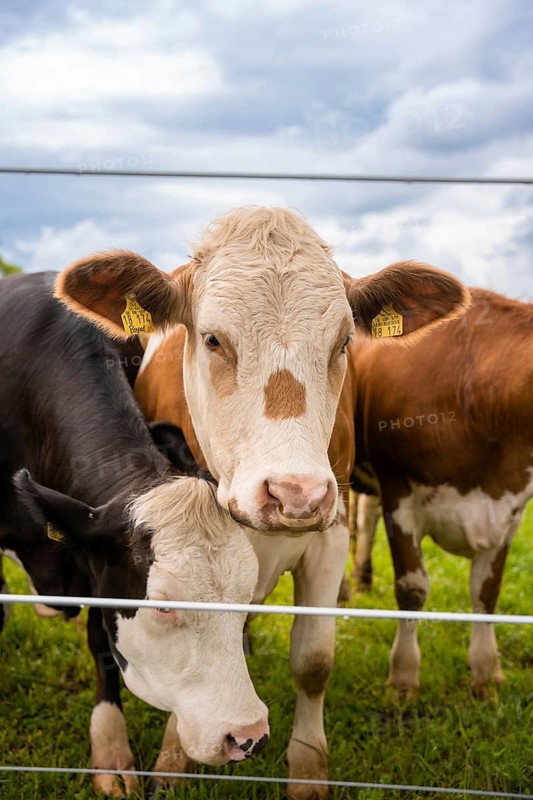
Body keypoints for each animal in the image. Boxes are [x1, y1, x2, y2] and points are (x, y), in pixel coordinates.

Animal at [0, 272, 268, 796]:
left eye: (247, 597)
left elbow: (100, 638)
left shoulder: (96, 559)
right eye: (163, 605)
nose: (247, 735)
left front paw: (109, 748)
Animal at [55, 206, 471, 798]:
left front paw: (308, 771)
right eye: (212, 339)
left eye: (343, 342)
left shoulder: (331, 531)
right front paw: (173, 763)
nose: (295, 491)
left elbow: (314, 660)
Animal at [350, 288, 533, 699]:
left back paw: (363, 580)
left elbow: (486, 591)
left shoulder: (511, 507)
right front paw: (403, 679)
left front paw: (486, 673)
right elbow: (412, 588)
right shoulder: (398, 490)